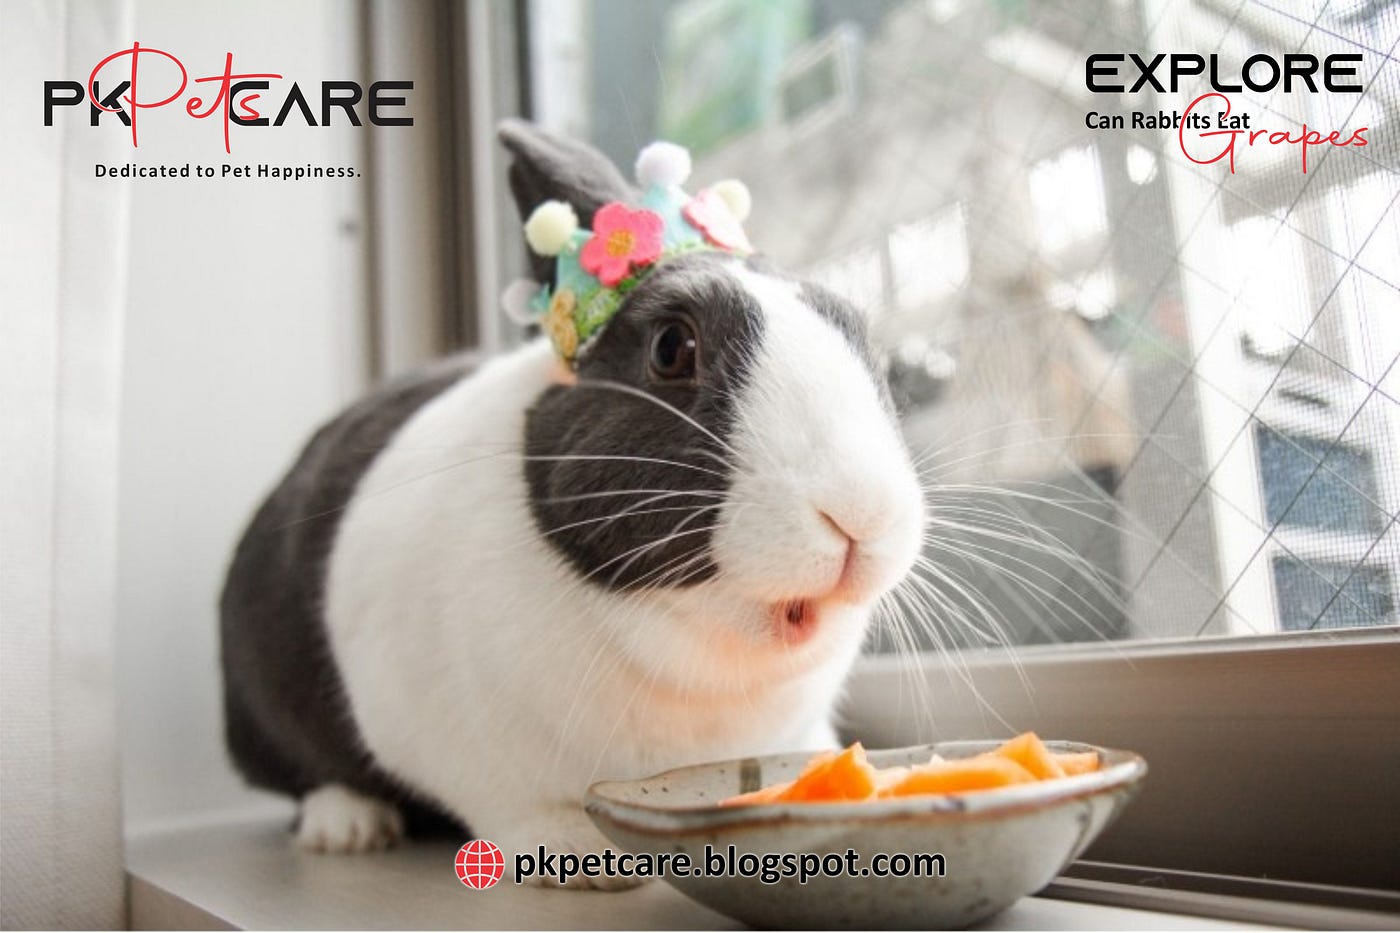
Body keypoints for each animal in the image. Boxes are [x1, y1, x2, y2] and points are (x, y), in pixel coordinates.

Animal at [219, 120, 925, 887]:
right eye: (671, 348)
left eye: (861, 340)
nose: (860, 511)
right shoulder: (455, 740)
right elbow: (515, 806)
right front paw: (585, 859)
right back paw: (347, 827)